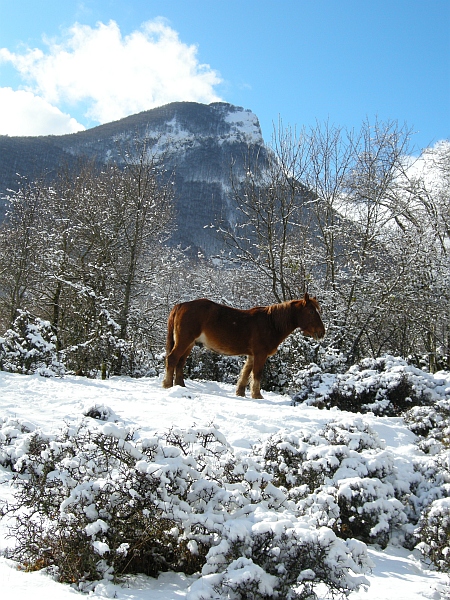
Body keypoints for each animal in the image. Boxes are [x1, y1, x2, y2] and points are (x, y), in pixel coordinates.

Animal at [162, 292, 324, 398]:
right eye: (311, 312)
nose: (322, 332)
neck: (271, 323)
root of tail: (180, 305)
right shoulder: (260, 354)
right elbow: (256, 374)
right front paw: (257, 395)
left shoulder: (252, 355)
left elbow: (246, 373)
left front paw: (240, 393)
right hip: (184, 341)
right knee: (172, 359)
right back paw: (168, 385)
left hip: (189, 344)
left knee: (180, 362)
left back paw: (180, 385)